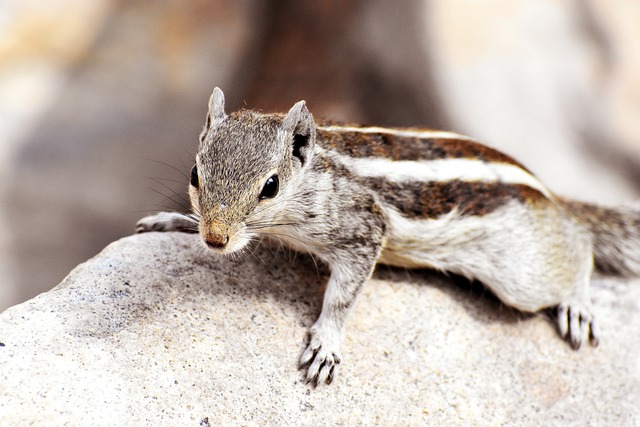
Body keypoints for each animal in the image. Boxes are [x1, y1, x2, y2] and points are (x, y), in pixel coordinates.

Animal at [136, 87, 640, 388]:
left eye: (271, 186)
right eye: (195, 174)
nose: (216, 239)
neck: (314, 175)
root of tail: (549, 194)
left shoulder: (364, 231)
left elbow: (342, 298)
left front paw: (326, 342)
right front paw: (174, 220)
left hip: (521, 274)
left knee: (579, 244)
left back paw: (577, 302)